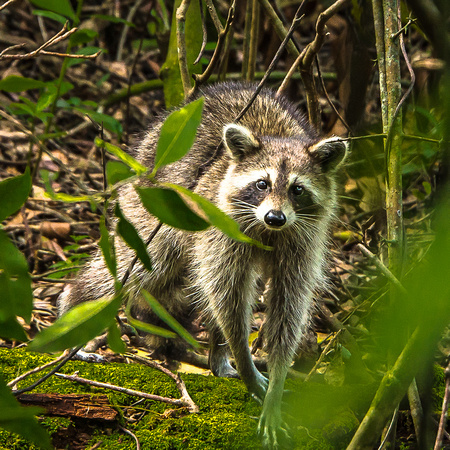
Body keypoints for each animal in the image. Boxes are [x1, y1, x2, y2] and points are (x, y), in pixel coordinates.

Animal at [58, 81, 348, 446]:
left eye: (298, 189)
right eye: (262, 184)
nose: (275, 217)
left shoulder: (302, 242)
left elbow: (288, 306)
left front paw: (276, 377)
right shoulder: (223, 222)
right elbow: (228, 297)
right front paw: (244, 359)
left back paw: (216, 356)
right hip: (158, 201)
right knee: (145, 263)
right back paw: (74, 307)